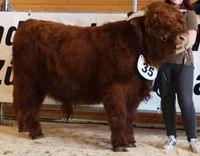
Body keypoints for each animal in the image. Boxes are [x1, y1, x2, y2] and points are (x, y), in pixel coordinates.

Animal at [12, 1, 188, 152]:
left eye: (180, 20)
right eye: (155, 21)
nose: (184, 37)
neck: (136, 47)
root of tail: (29, 23)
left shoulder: (134, 91)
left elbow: (130, 116)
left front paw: (130, 141)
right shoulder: (115, 87)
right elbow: (119, 114)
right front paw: (119, 144)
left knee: (28, 105)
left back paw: (24, 128)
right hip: (28, 81)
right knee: (28, 104)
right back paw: (35, 132)